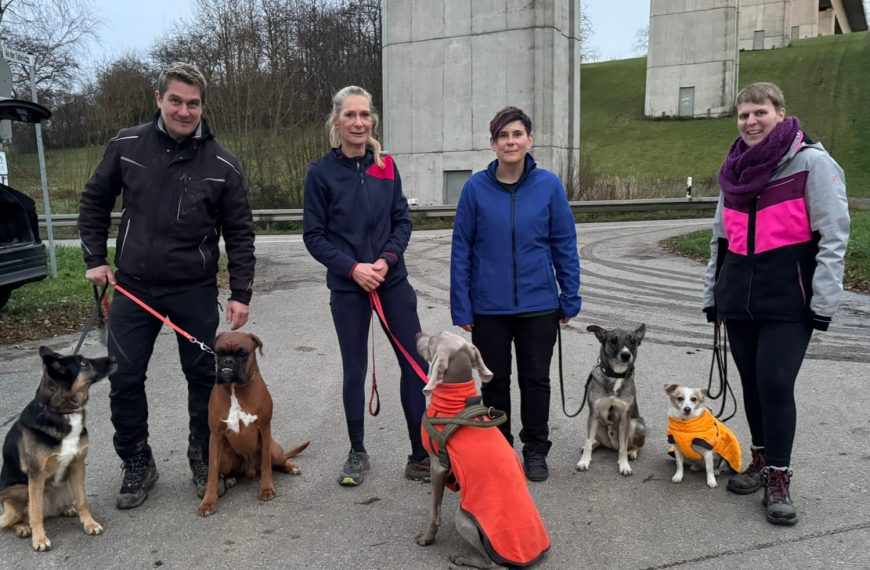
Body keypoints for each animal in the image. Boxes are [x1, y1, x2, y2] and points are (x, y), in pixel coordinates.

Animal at [0, 344, 116, 548]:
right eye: (83, 363)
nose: (114, 358)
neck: (64, 411)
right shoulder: (36, 475)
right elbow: (35, 511)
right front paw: (39, 538)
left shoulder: (77, 465)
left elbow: (82, 501)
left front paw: (89, 524)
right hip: (20, 489)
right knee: (14, 519)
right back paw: (23, 528)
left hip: (66, 484)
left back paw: (67, 509)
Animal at [198, 328, 310, 516]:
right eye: (219, 353)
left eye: (243, 353)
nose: (228, 361)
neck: (235, 389)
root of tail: (249, 470)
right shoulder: (215, 435)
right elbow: (212, 473)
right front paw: (208, 502)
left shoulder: (264, 428)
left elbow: (266, 465)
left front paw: (266, 489)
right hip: (225, 457)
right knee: (227, 471)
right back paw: (229, 479)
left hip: (274, 449)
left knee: (277, 462)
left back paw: (290, 467)